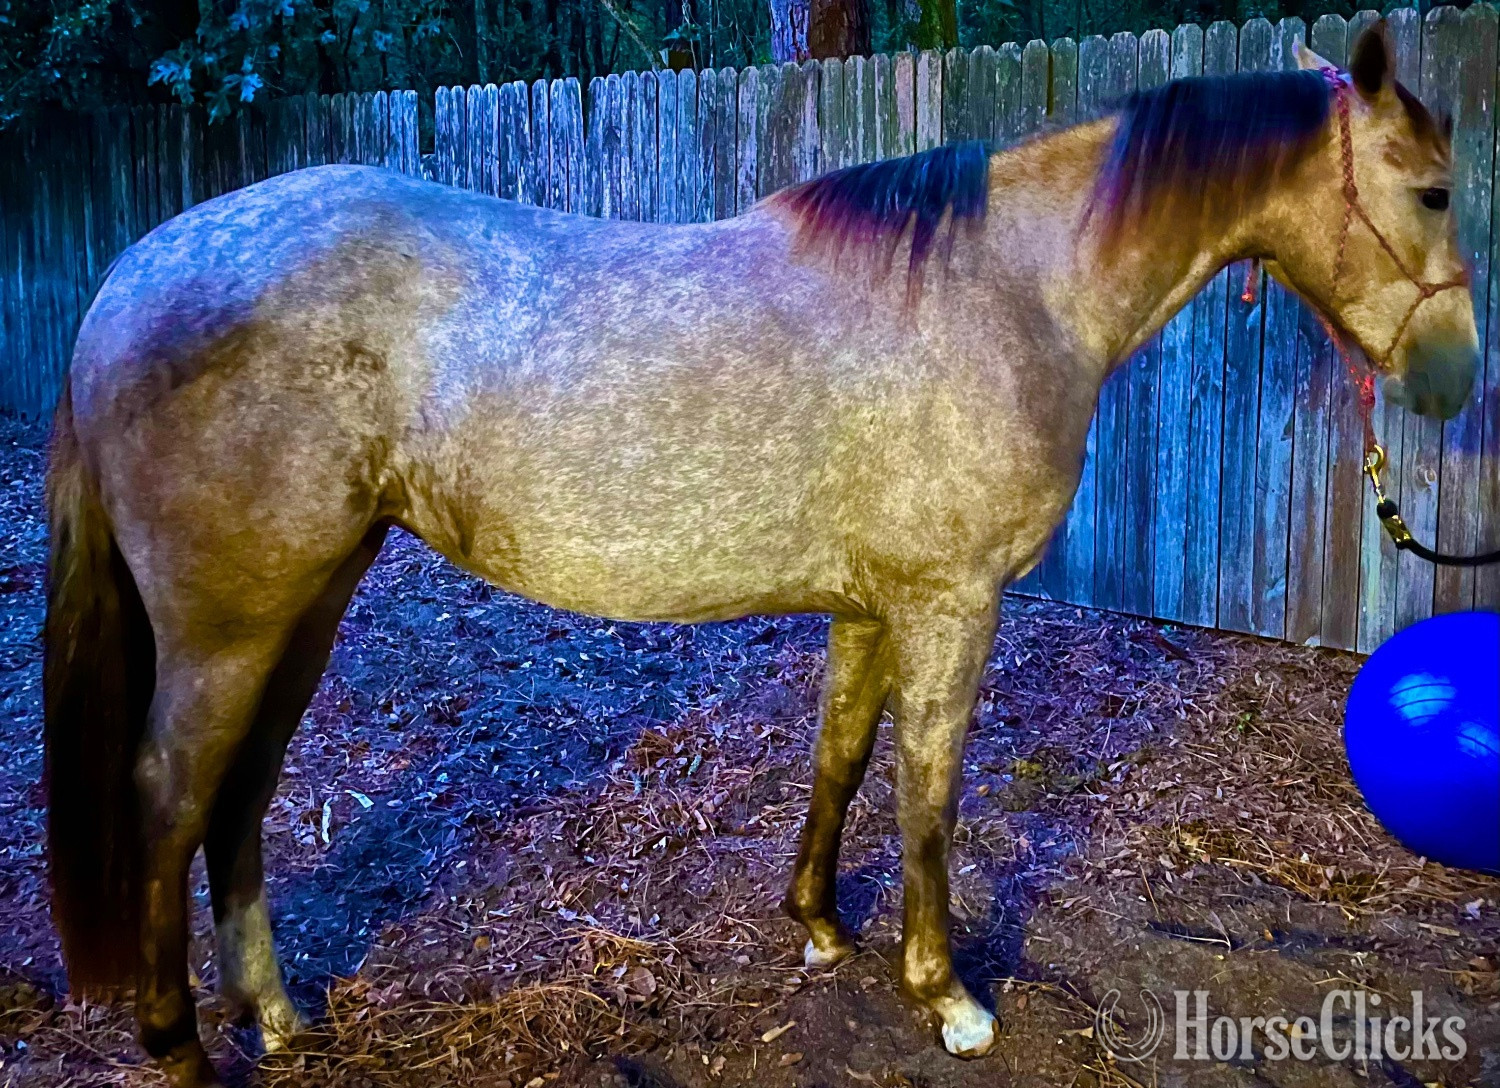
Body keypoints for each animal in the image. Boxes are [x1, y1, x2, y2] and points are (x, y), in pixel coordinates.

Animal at [43, 22, 1476, 1086]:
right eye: (1433, 189)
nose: (1455, 381)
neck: (1007, 286)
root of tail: (131, 275)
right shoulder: (953, 603)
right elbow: (928, 792)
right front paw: (944, 993)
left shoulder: (872, 605)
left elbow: (841, 755)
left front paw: (819, 925)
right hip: (230, 623)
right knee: (169, 794)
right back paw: (179, 1045)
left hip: (306, 601)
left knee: (239, 794)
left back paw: (278, 1019)